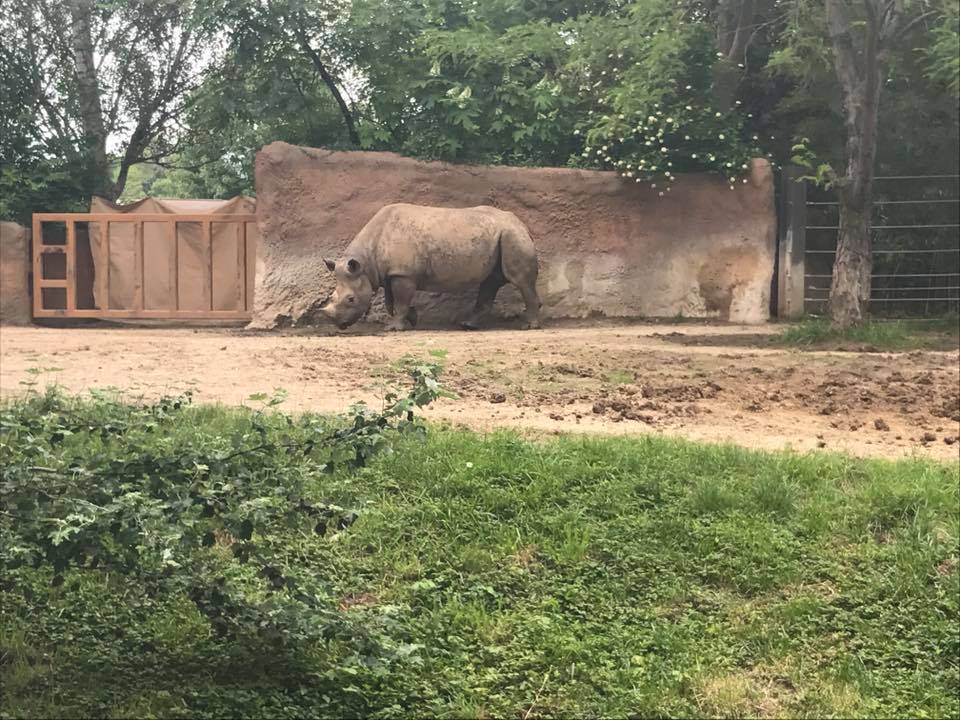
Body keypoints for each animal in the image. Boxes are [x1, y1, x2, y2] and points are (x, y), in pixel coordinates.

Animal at [319, 203, 542, 331]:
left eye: (351, 299)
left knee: (519, 280)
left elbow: (400, 301)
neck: (365, 262)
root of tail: (521, 223)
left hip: (512, 235)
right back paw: (468, 325)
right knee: (490, 282)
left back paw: (528, 326)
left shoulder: (404, 274)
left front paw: (394, 328)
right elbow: (391, 301)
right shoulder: (390, 273)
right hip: (502, 235)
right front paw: (412, 319)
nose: (337, 324)